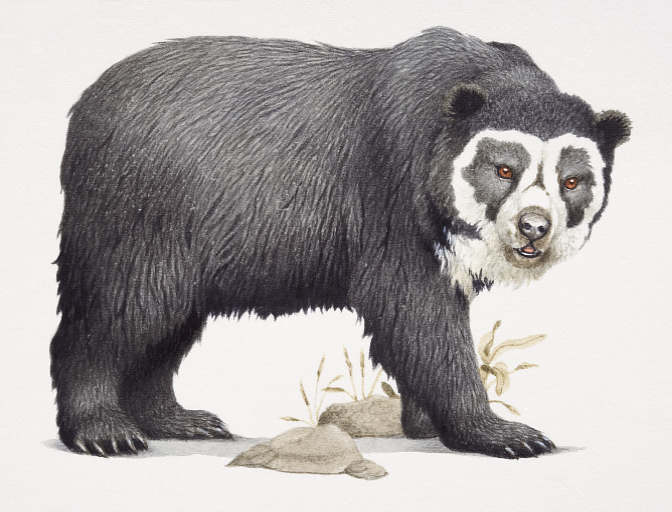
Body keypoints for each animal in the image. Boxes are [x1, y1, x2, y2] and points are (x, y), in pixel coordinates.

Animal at [51, 27, 630, 458]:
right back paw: (105, 430)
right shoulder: (391, 193)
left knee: (166, 326)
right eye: (504, 169)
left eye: (573, 180)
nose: (533, 226)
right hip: (141, 213)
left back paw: (179, 418)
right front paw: (504, 432)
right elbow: (413, 309)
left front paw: (425, 422)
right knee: (119, 310)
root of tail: (84, 105)